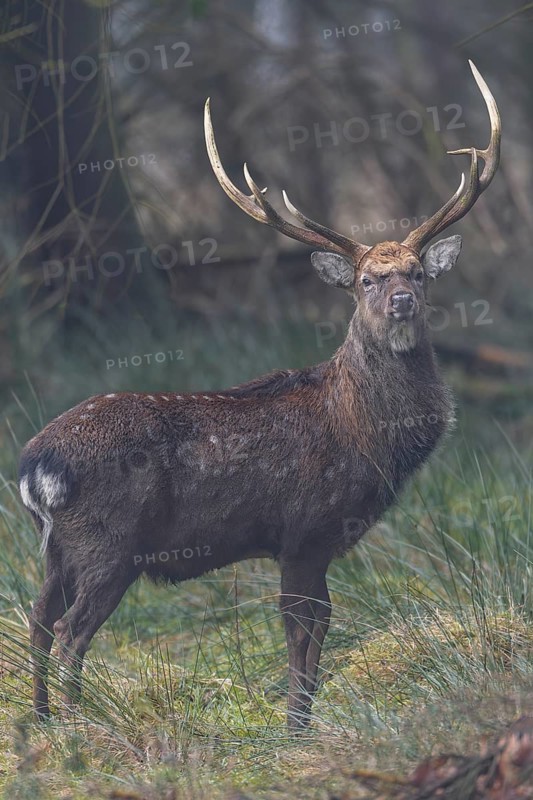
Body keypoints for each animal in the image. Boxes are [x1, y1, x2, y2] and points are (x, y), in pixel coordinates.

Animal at [20, 61, 500, 730]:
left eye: (418, 273)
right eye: (366, 281)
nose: (403, 300)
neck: (363, 432)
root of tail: (34, 466)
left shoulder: (311, 543)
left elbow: (318, 626)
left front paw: (303, 719)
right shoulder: (303, 529)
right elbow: (301, 628)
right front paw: (296, 724)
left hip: (57, 548)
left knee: (37, 619)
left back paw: (41, 723)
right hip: (107, 543)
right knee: (70, 631)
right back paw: (81, 729)